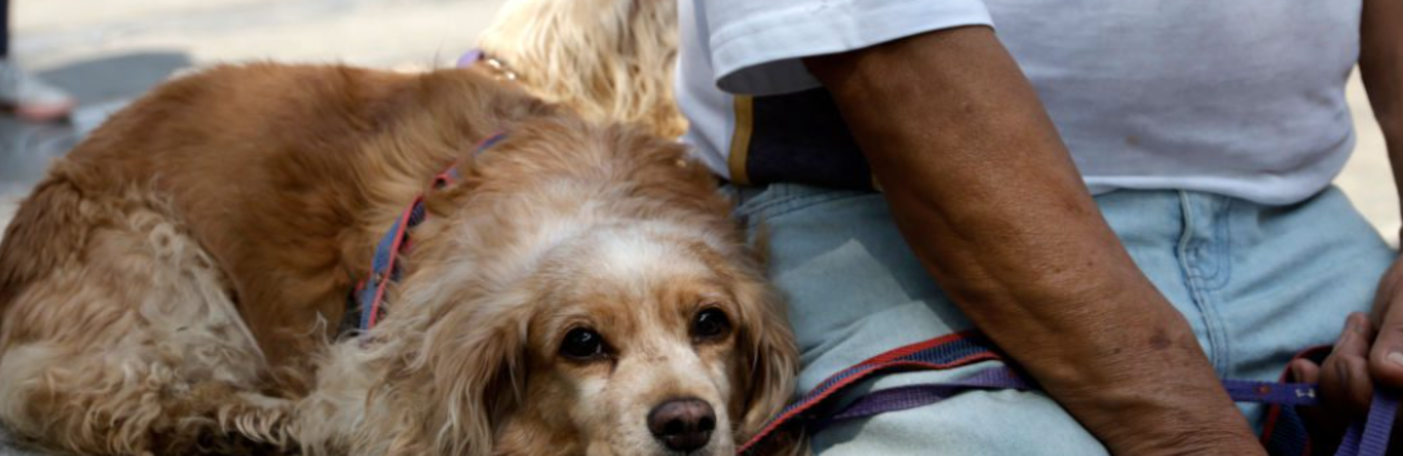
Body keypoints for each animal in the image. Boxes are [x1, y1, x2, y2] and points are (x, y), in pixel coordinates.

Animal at [0, 63, 799, 455]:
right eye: (581, 343)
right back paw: (234, 423)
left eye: (711, 324)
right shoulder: (376, 379)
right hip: (164, 271)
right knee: (95, 395)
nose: (686, 422)